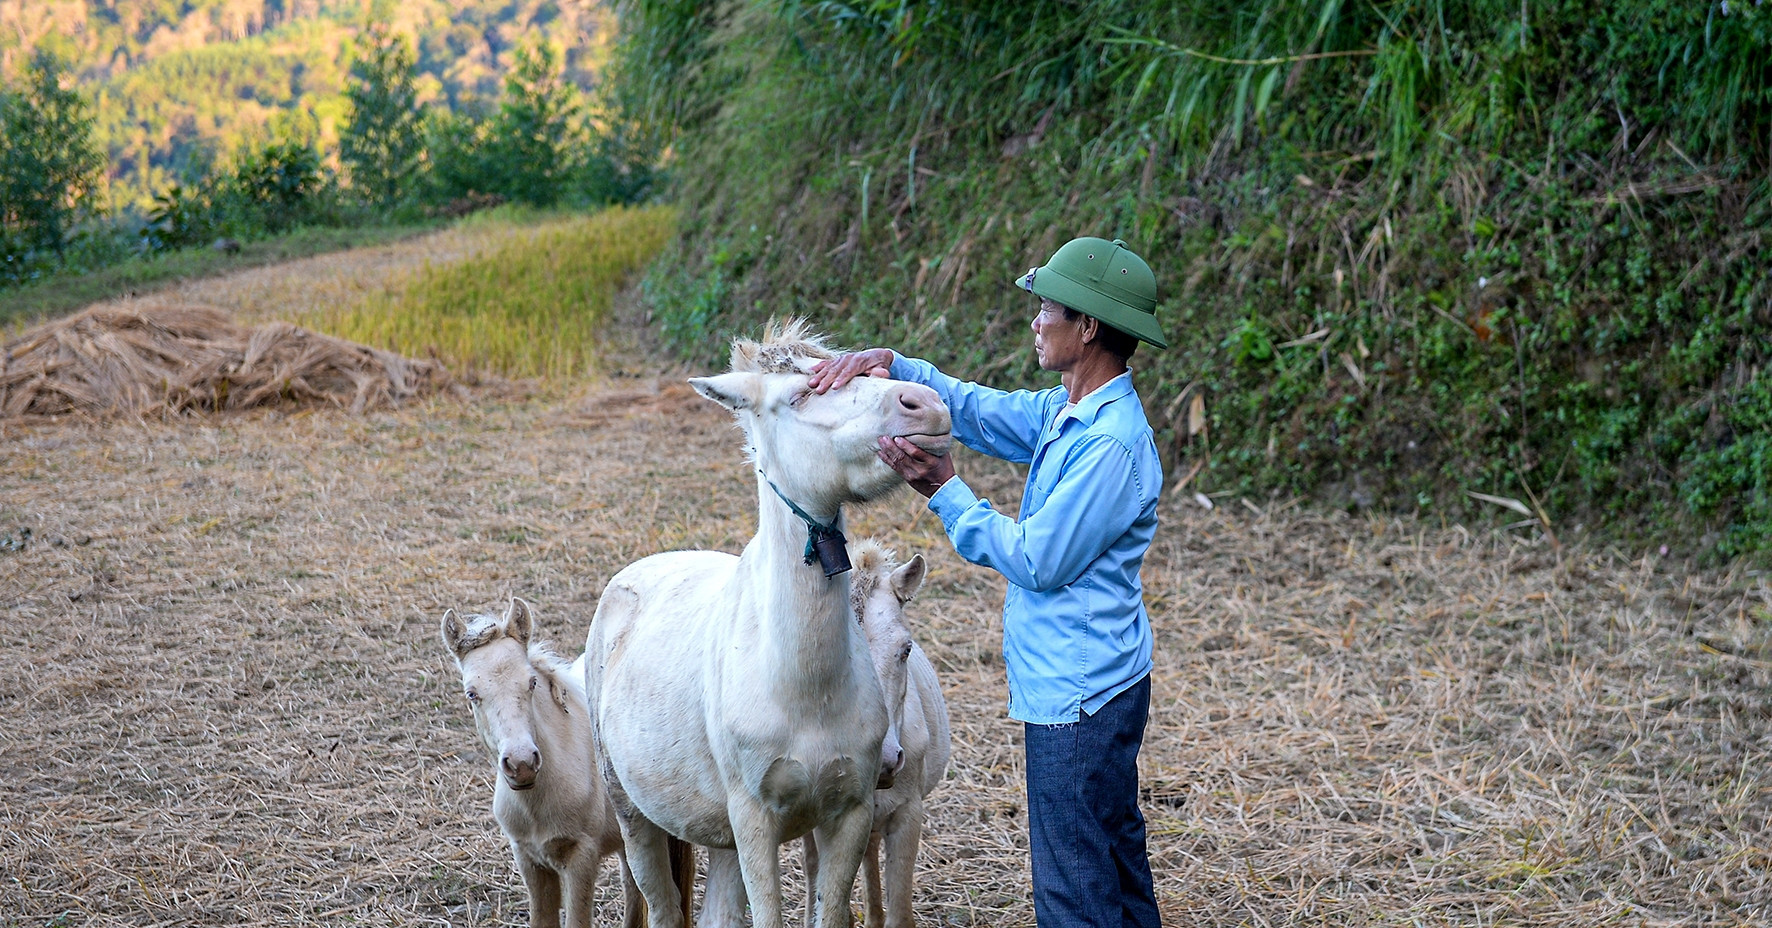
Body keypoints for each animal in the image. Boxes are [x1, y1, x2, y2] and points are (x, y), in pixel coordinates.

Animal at [582, 319, 953, 928]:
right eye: (799, 397)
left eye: (905, 650)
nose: (927, 405)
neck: (803, 685)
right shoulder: (755, 822)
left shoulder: (849, 815)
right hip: (635, 817)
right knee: (663, 905)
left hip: (722, 842)